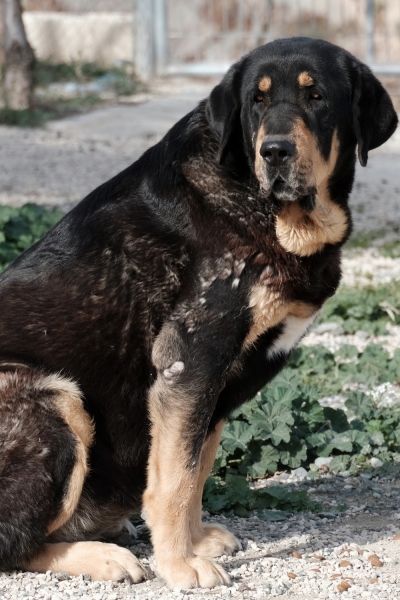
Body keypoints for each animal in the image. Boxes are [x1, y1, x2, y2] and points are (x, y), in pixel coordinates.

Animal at [0, 37, 396, 592]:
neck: (273, 213)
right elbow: (174, 480)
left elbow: (196, 466)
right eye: (257, 100)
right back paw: (102, 557)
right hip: (52, 398)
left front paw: (192, 542)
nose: (275, 151)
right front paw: (178, 564)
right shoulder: (190, 357)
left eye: (316, 96)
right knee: (12, 540)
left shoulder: (219, 381)